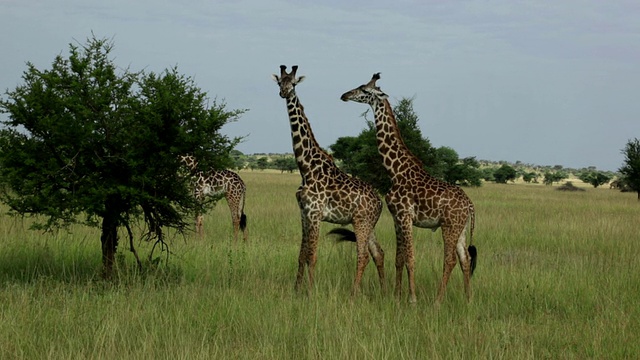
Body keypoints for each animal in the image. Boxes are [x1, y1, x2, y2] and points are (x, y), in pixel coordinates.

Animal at [272, 64, 384, 296]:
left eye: (293, 83)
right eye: (279, 82)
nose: (284, 93)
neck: (306, 168)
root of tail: (380, 203)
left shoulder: (315, 214)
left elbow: (312, 255)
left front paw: (309, 292)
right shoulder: (304, 214)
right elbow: (301, 255)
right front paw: (296, 290)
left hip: (361, 222)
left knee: (363, 255)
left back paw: (354, 294)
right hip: (369, 225)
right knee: (379, 253)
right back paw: (385, 292)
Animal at [342, 73, 478, 304]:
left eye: (364, 90)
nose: (345, 95)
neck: (395, 170)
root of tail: (469, 205)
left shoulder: (406, 215)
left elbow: (411, 258)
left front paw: (412, 299)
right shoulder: (397, 217)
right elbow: (399, 257)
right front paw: (396, 296)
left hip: (449, 226)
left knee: (450, 259)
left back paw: (438, 301)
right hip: (460, 229)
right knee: (465, 258)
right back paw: (468, 299)